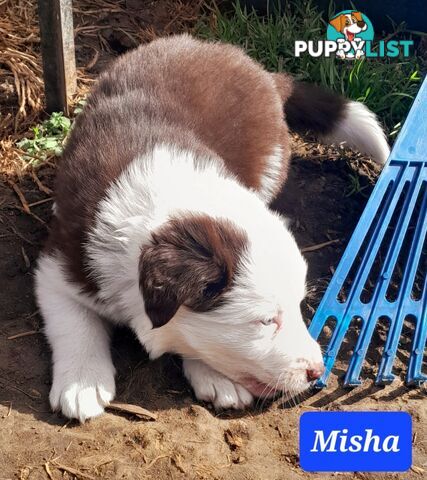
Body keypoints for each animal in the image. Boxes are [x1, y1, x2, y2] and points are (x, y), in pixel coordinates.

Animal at [36, 33, 392, 420]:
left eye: (299, 305)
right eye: (265, 321)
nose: (316, 371)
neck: (169, 195)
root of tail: (258, 69)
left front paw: (216, 377)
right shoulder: (60, 264)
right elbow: (74, 321)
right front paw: (82, 382)